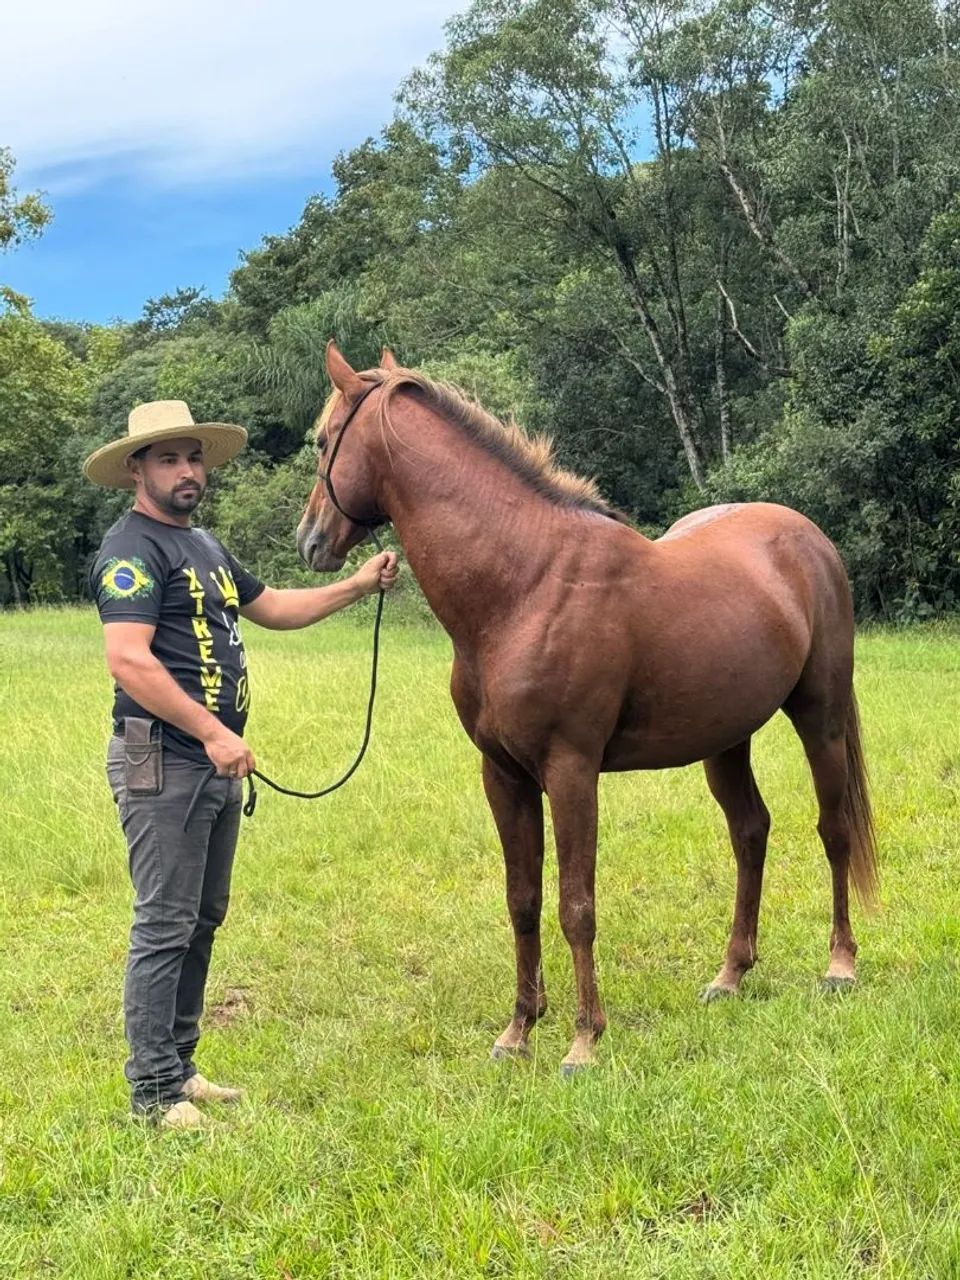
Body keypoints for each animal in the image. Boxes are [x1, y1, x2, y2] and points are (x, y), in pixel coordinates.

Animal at [296, 342, 879, 1075]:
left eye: (324, 441)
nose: (309, 540)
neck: (524, 586)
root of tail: (808, 538)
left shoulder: (570, 771)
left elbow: (576, 905)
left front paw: (582, 1040)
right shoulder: (504, 776)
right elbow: (523, 900)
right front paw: (518, 1031)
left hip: (819, 717)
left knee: (834, 830)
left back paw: (839, 966)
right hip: (726, 740)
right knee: (750, 833)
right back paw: (730, 975)